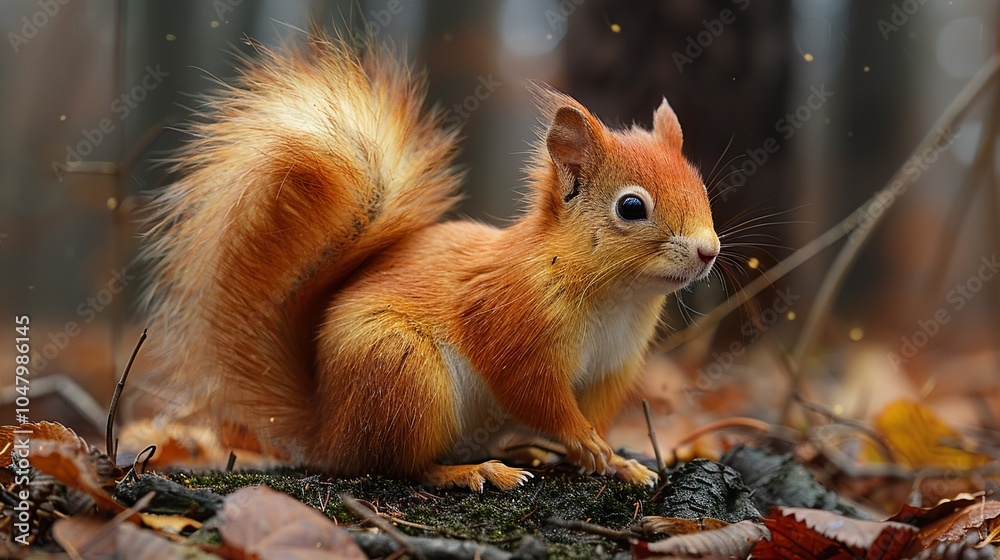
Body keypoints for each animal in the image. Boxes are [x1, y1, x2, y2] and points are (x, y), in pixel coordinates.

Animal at [143, 34, 720, 490]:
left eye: (701, 187)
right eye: (631, 208)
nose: (709, 251)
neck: (616, 297)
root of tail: (327, 430)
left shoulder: (611, 368)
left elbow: (595, 414)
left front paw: (616, 460)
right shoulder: (512, 324)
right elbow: (536, 395)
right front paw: (585, 442)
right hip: (403, 374)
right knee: (399, 465)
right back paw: (472, 471)